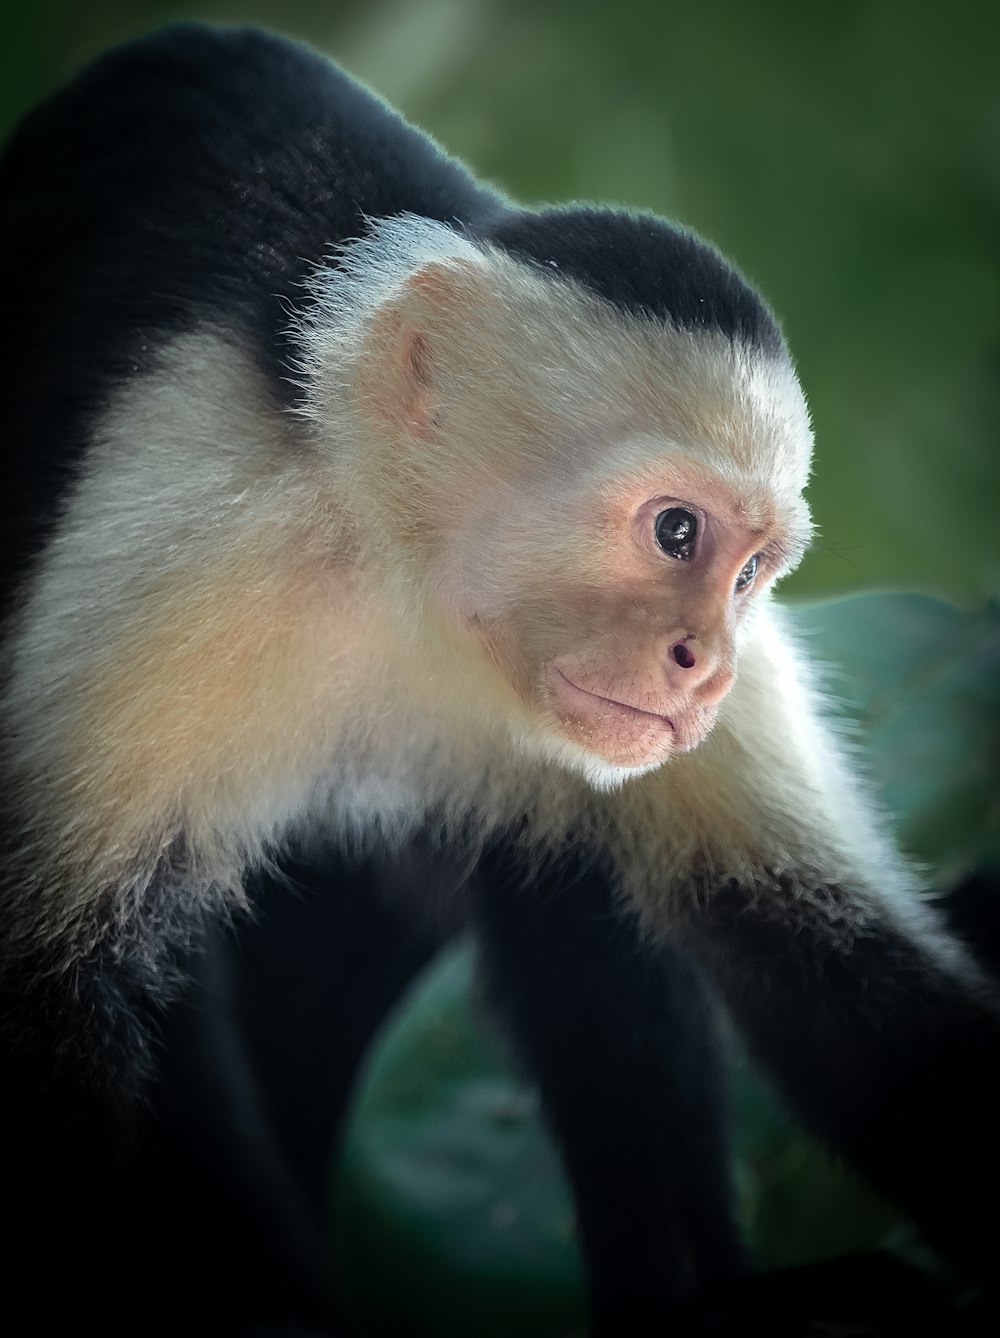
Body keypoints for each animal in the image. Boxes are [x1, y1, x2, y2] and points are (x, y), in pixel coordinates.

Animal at [1, 18, 1000, 1338]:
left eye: (750, 573)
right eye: (673, 533)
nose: (704, 669)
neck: (407, 586)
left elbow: (839, 980)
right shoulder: (195, 533)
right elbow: (51, 978)